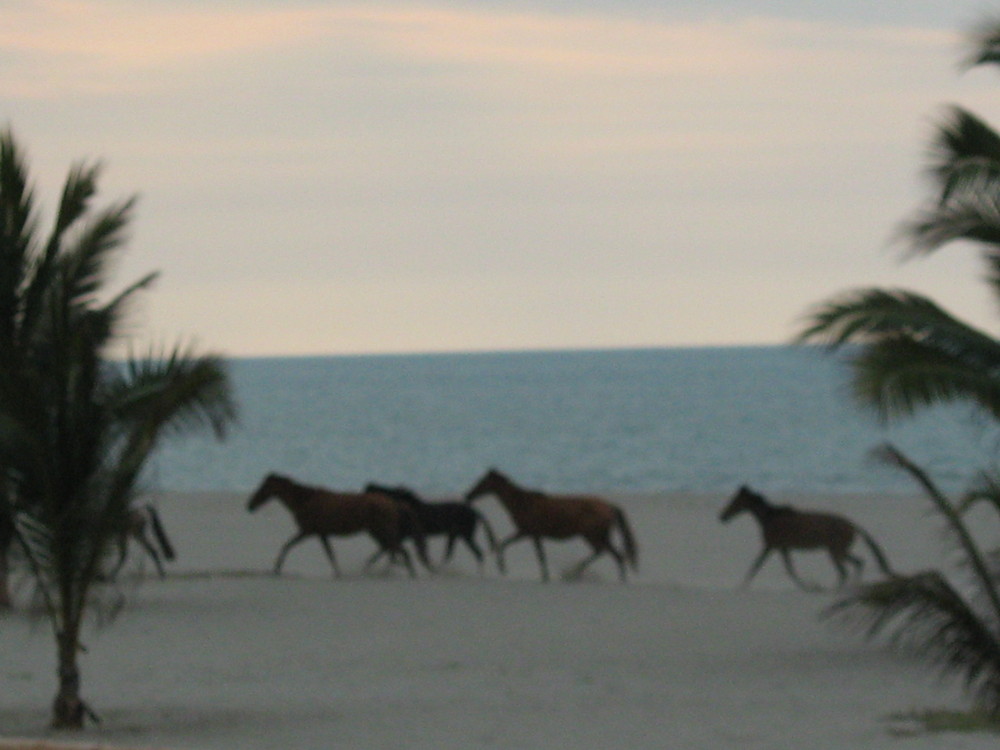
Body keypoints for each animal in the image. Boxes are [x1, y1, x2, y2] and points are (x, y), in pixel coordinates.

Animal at [248, 472, 428, 580]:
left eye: (263, 488)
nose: (250, 505)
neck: (305, 500)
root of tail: (393, 503)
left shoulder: (307, 531)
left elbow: (287, 546)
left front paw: (276, 568)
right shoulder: (320, 533)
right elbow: (330, 554)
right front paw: (338, 573)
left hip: (383, 531)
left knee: (400, 551)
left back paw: (406, 573)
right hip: (377, 531)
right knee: (392, 550)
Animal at [366, 484, 500, 572]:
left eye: (390, 492)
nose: (370, 486)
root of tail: (475, 512)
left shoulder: (406, 535)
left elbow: (386, 548)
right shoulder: (404, 536)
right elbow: (386, 549)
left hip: (466, 534)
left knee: (478, 553)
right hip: (455, 534)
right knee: (450, 553)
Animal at [462, 470, 636, 580]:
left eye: (482, 481)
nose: (468, 495)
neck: (522, 503)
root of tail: (609, 506)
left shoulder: (529, 533)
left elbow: (537, 554)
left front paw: (503, 567)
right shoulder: (526, 533)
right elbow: (506, 544)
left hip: (592, 535)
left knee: (612, 554)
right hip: (597, 535)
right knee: (606, 553)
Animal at [720, 488, 892, 592]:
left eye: (735, 501)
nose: (722, 516)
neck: (770, 518)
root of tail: (853, 525)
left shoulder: (770, 546)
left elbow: (756, 567)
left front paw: (741, 587)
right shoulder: (783, 548)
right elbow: (790, 569)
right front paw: (809, 586)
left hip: (835, 551)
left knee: (845, 571)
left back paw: (837, 590)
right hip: (840, 550)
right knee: (858, 563)